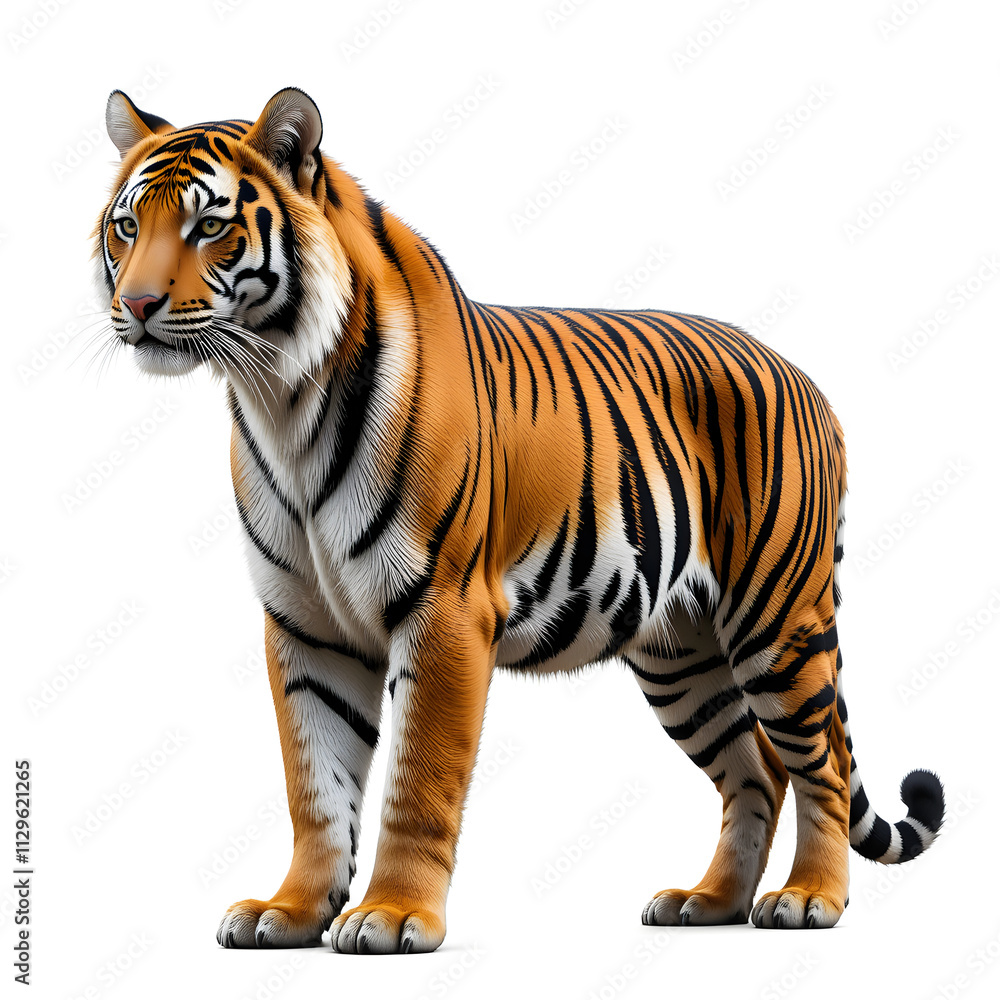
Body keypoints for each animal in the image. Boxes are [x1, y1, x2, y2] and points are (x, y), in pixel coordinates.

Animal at [94, 87, 945, 954]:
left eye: (208, 226)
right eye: (127, 227)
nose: (136, 304)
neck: (280, 394)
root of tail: (807, 381)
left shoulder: (442, 612)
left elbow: (417, 780)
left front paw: (393, 914)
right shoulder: (306, 624)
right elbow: (315, 788)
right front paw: (292, 911)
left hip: (779, 622)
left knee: (821, 766)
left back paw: (809, 899)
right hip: (682, 654)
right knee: (758, 771)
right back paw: (707, 901)